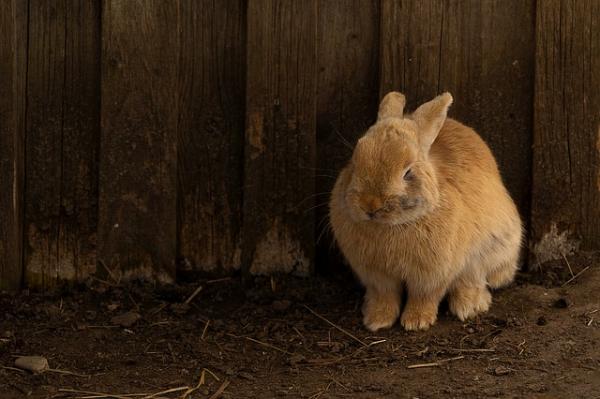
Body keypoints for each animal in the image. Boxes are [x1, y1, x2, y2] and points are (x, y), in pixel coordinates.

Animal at [330, 92, 524, 332]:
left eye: (407, 172)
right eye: (355, 161)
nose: (370, 204)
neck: (394, 225)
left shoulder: (433, 275)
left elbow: (425, 296)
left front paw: (417, 322)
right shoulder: (377, 277)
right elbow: (385, 296)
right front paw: (377, 320)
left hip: (489, 250)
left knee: (472, 280)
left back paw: (468, 307)